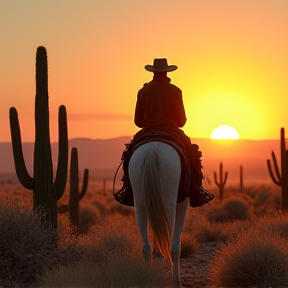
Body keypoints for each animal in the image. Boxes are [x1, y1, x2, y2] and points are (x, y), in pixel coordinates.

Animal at [128, 141, 189, 284]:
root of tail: (152, 150)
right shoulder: (183, 204)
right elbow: (176, 246)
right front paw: (176, 281)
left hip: (139, 202)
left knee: (146, 247)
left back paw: (147, 276)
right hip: (169, 203)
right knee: (170, 246)